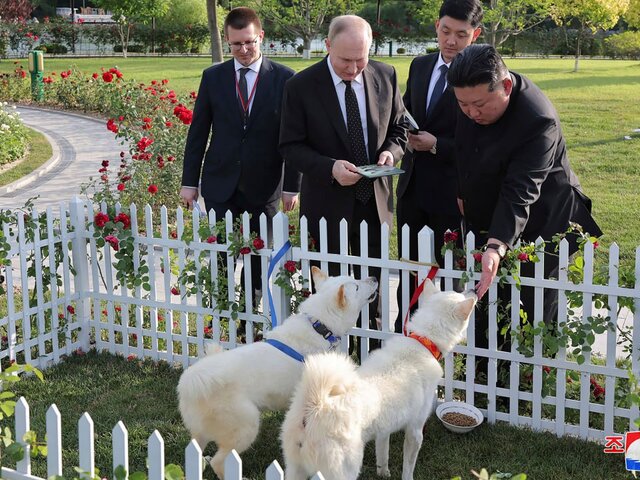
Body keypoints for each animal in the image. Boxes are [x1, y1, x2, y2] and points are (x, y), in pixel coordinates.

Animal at [178, 268, 378, 478]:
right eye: (356, 286)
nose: (373, 277)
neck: (320, 327)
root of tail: (190, 381)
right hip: (247, 426)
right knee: (219, 461)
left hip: (202, 432)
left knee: (196, 451)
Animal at [282, 278, 478, 480]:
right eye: (461, 294)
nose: (473, 289)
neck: (423, 341)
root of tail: (316, 405)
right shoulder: (415, 430)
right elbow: (408, 467)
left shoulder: (384, 430)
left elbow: (383, 453)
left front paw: (383, 473)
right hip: (344, 471)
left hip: (294, 469)